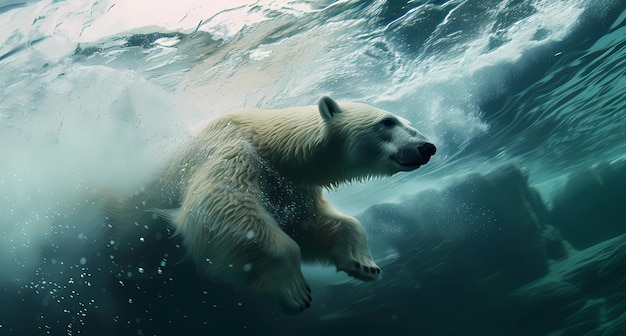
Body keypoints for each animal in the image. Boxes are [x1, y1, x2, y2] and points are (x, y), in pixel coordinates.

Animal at [103, 96, 434, 314]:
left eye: (409, 122)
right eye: (387, 121)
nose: (426, 147)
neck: (273, 143)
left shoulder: (291, 184)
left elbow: (310, 223)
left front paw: (363, 264)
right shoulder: (235, 154)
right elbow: (220, 207)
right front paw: (296, 291)